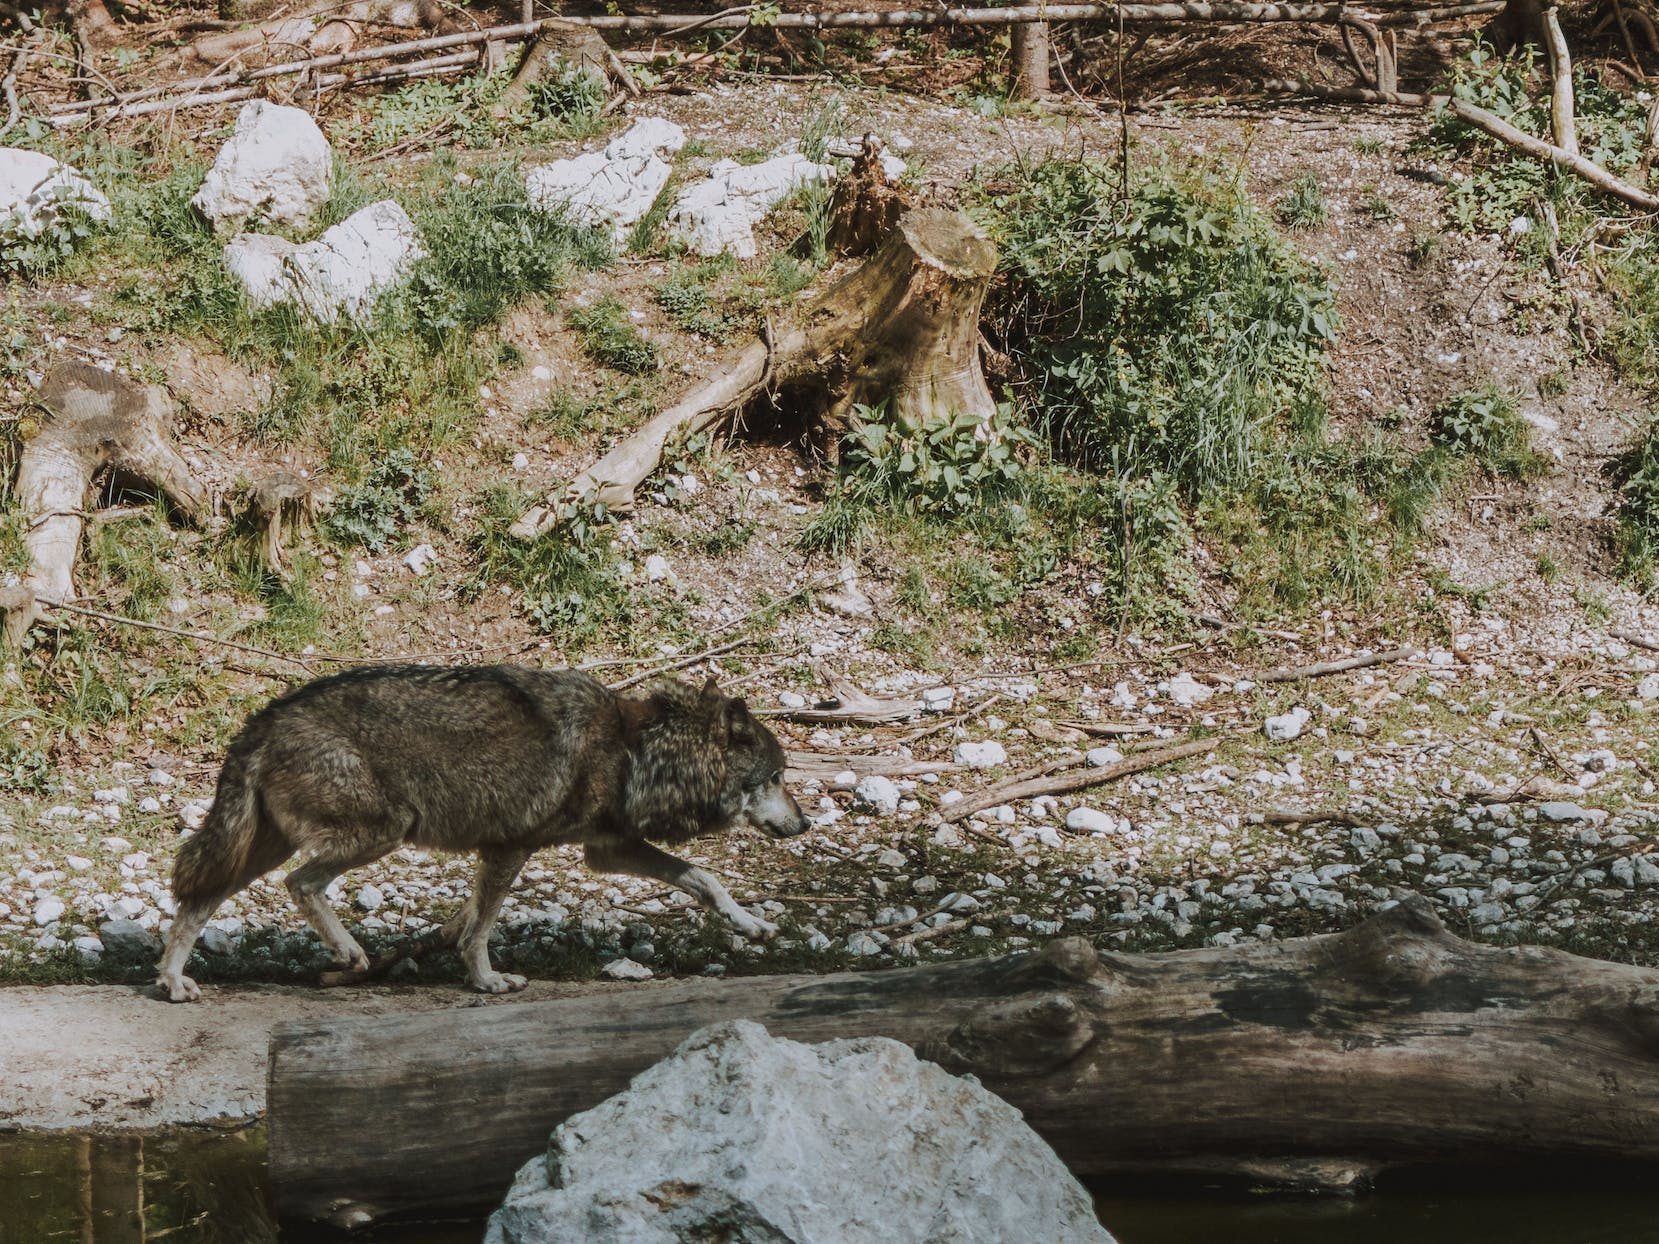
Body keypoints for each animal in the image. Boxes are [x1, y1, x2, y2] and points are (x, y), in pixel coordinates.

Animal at [154, 665, 809, 1002]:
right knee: (300, 884)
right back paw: (348, 953)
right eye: (777, 777)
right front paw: (488, 980)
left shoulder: (607, 849)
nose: (804, 823)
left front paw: (752, 926)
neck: (635, 751)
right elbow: (482, 928)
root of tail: (261, 720)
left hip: (262, 846)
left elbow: (706, 880)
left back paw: (173, 982)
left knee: (197, 900)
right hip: (384, 830)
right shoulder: (508, 847)